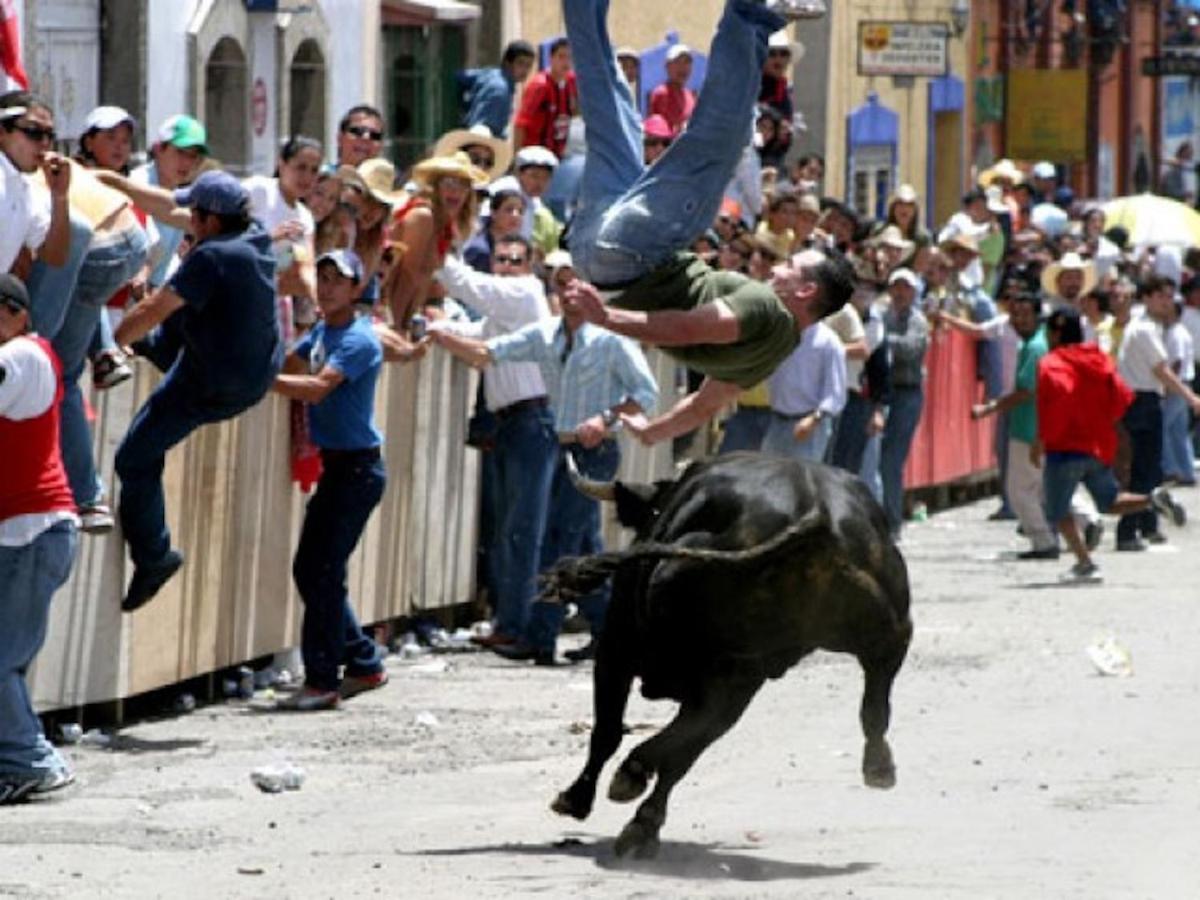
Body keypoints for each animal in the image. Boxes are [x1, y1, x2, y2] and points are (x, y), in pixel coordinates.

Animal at [540, 451, 912, 859]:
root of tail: (815, 514)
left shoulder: (615, 650)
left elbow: (609, 732)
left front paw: (577, 799)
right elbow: (684, 750)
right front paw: (643, 823)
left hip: (679, 653)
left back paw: (630, 776)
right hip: (881, 634)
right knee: (875, 698)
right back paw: (879, 766)